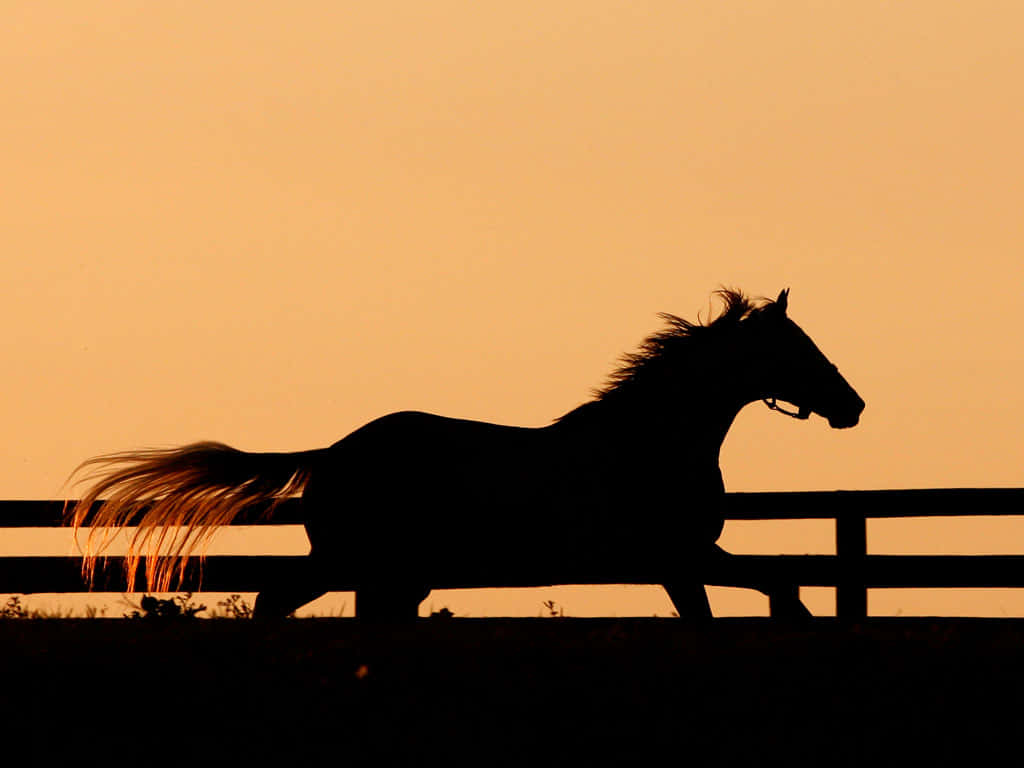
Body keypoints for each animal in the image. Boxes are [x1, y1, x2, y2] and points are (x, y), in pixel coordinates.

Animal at [64, 288, 864, 618]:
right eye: (796, 346)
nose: (852, 405)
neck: (654, 443)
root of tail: (334, 453)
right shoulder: (681, 554)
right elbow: (777, 582)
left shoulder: (678, 564)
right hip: (353, 560)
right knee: (272, 598)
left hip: (390, 572)